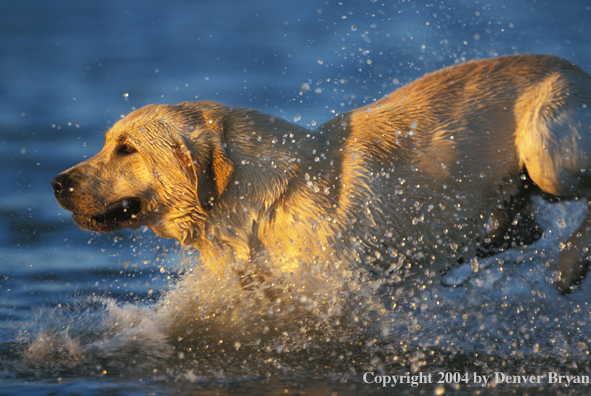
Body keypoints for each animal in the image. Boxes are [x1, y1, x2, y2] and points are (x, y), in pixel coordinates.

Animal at [52, 55, 591, 290]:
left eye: (126, 149)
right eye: (107, 142)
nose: (57, 183)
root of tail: (578, 69)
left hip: (546, 152)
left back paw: (568, 264)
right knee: (523, 226)